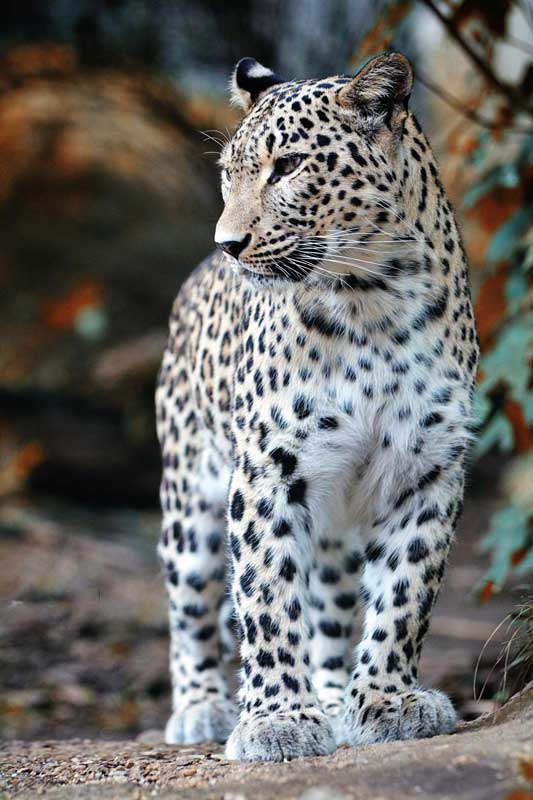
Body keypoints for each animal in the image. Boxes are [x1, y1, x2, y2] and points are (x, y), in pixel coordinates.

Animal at [154, 51, 478, 764]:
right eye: (230, 173)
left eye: (288, 167)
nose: (228, 243)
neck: (372, 300)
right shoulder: (267, 466)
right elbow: (267, 596)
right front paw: (276, 721)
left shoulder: (428, 465)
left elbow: (406, 592)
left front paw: (386, 702)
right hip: (188, 502)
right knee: (191, 609)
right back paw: (200, 707)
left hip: (335, 518)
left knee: (329, 602)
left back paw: (333, 697)